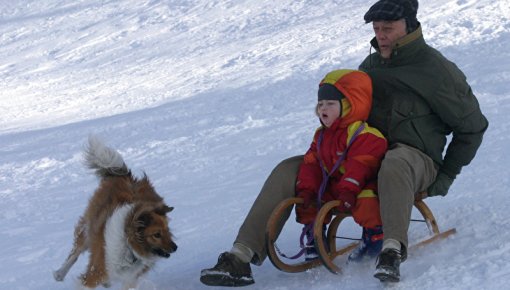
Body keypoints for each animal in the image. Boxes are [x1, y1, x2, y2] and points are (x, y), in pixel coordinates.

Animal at [53, 137, 177, 290]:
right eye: (157, 234)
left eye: (167, 229)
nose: (175, 247)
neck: (129, 247)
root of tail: (126, 176)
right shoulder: (95, 273)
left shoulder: (131, 278)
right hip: (88, 227)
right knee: (75, 251)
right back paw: (59, 273)